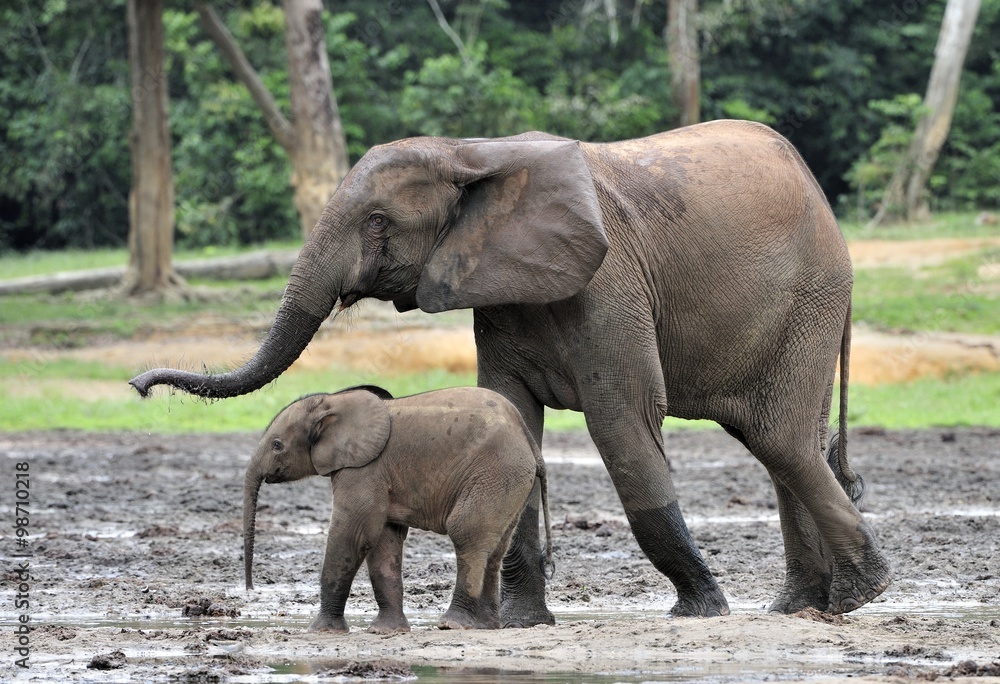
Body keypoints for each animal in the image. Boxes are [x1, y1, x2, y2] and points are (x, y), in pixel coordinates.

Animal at [243, 385, 553, 633]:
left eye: (277, 445)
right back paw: (487, 626)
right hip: (510, 481)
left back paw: (452, 624)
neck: (334, 400)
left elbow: (353, 534)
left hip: (494, 473)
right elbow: (383, 542)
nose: (250, 588)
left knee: (468, 535)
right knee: (496, 548)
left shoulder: (364, 470)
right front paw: (385, 631)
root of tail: (527, 437)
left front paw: (321, 631)